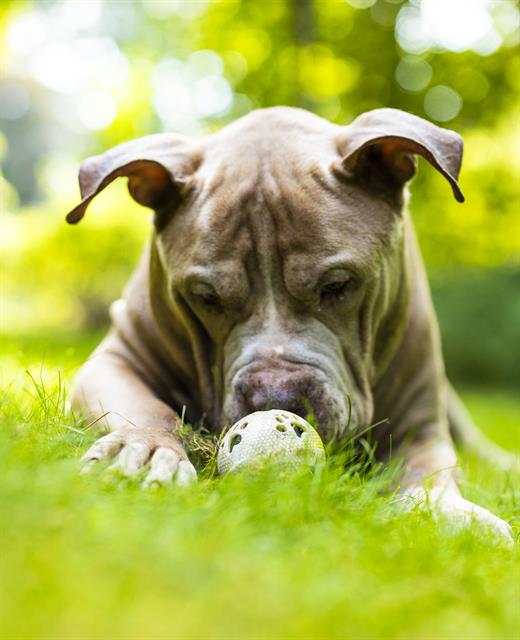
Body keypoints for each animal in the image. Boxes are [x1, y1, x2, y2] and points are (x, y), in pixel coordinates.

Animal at [66, 106, 516, 540]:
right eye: (205, 298)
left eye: (337, 285)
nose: (274, 398)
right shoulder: (116, 360)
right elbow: (146, 408)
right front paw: (146, 448)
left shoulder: (419, 427)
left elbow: (428, 472)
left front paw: (447, 512)